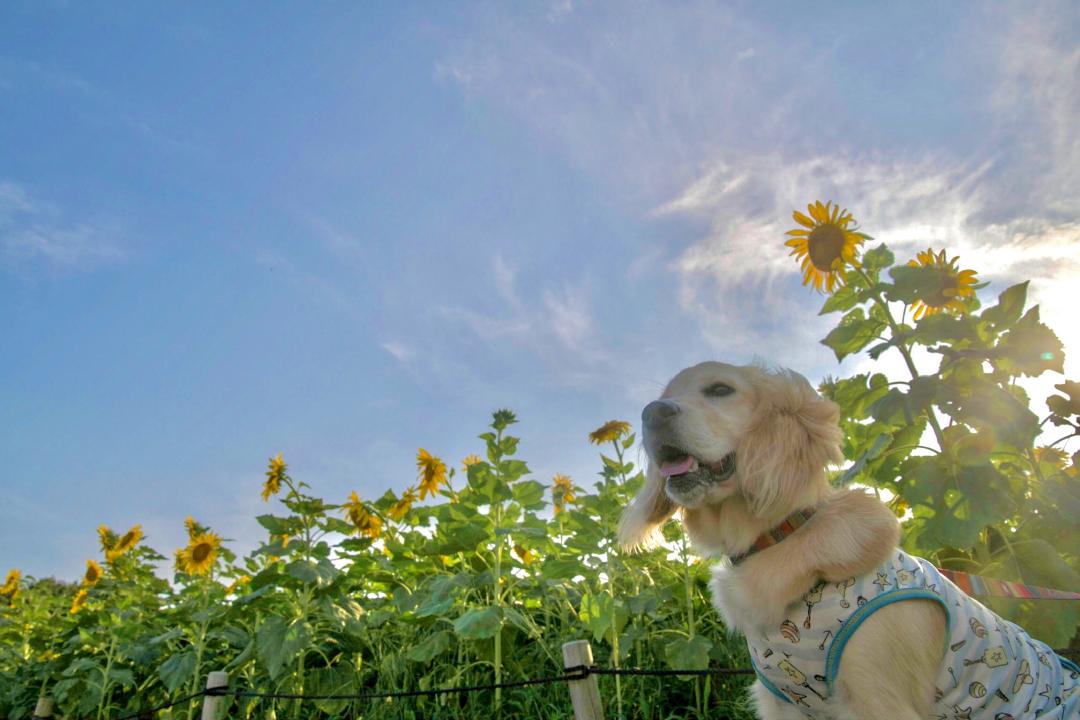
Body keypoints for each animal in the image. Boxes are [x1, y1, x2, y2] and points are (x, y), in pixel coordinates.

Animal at [622, 362, 1075, 716]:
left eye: (720, 390)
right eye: (664, 396)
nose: (650, 413)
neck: (780, 538)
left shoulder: (881, 698)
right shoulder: (782, 701)